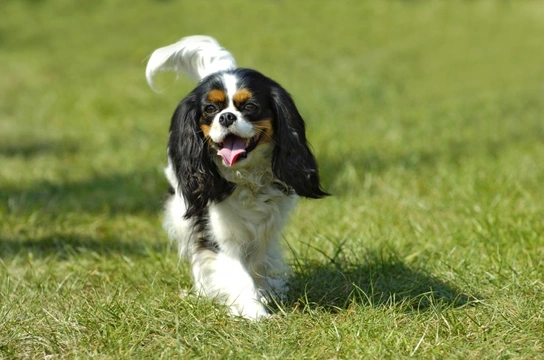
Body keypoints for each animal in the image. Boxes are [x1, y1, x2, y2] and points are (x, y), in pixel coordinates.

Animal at [144, 35, 328, 320]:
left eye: (250, 107)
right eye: (210, 109)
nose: (227, 116)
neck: (247, 177)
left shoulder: (266, 228)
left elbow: (255, 264)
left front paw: (262, 296)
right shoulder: (219, 233)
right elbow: (237, 273)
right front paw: (254, 312)